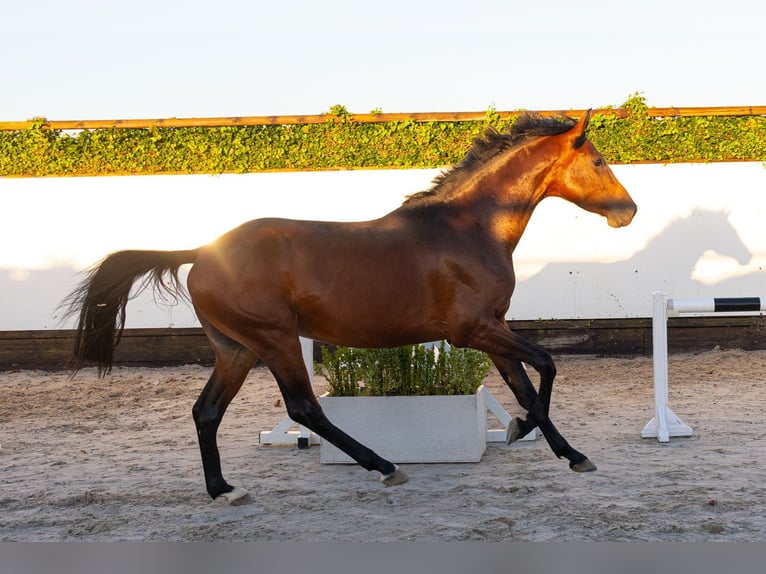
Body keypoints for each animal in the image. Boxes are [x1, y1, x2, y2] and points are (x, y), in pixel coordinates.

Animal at [63, 110, 637, 505]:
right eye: (598, 159)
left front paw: (567, 452)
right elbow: (547, 365)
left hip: (236, 350)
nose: (628, 210)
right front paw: (526, 431)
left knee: (206, 411)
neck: (467, 229)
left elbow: (525, 383)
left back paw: (224, 489)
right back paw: (383, 465)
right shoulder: (472, 330)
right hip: (275, 339)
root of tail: (203, 251)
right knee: (304, 408)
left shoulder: (492, 328)